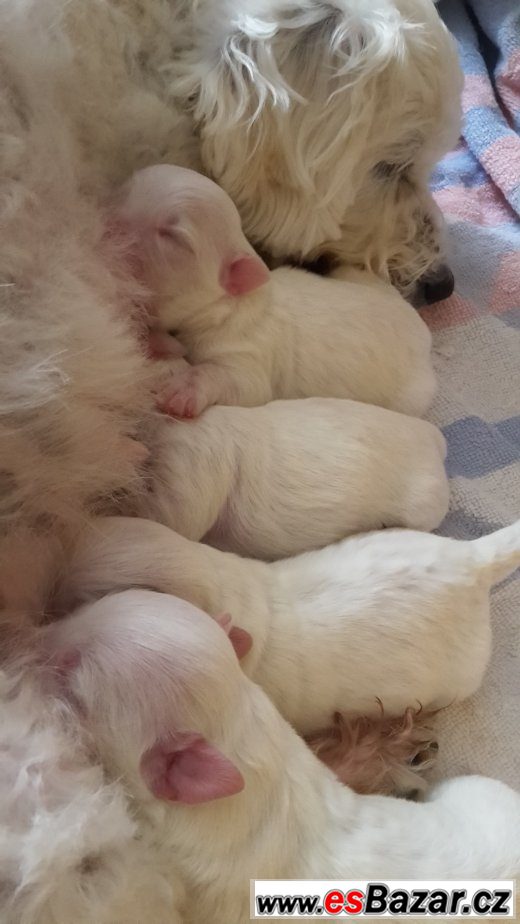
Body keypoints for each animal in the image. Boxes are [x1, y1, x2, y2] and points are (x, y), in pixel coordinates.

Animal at [116, 166, 436, 418]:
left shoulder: (247, 350)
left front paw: (184, 389)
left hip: (411, 396)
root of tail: (418, 323)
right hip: (356, 276)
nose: (112, 225)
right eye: (125, 190)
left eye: (173, 236)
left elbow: (239, 382)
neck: (226, 305)